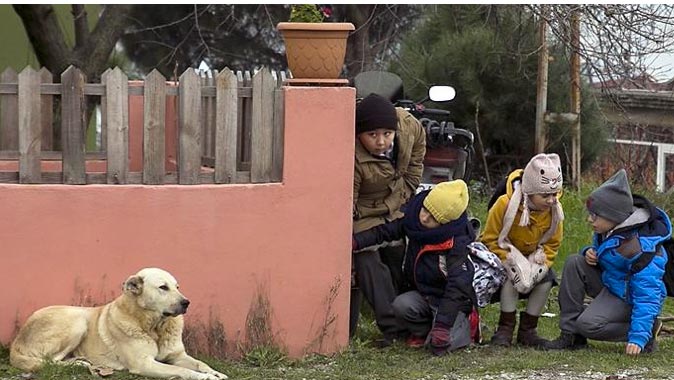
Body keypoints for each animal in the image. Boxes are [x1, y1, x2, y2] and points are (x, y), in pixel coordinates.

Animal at [9, 268, 228, 380]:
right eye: (163, 287)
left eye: (177, 287)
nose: (186, 303)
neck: (154, 327)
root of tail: (16, 343)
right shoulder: (144, 363)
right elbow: (183, 371)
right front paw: (205, 377)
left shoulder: (178, 356)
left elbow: (200, 363)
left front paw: (215, 373)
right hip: (77, 321)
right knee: (49, 361)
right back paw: (80, 364)